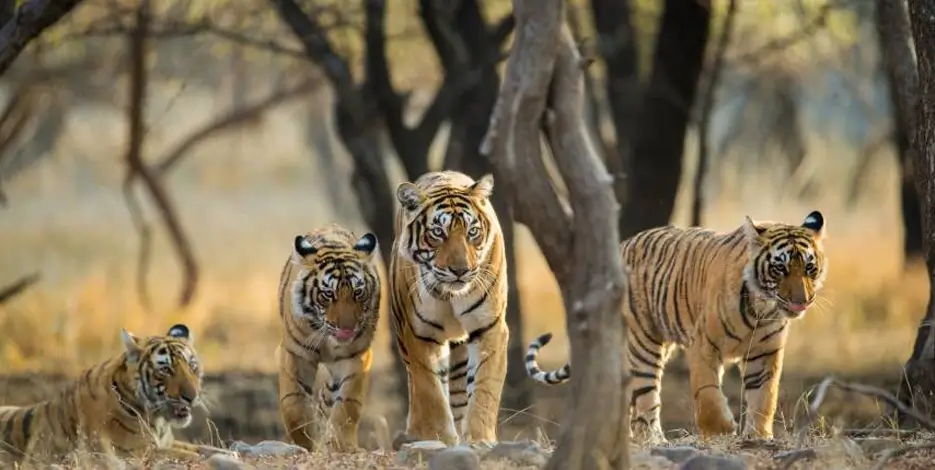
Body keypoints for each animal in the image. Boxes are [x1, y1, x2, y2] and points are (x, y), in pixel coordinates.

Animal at [0, 324, 231, 464]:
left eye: (192, 366)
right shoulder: (136, 451)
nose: (192, 397)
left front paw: (226, 453)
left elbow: (207, 449)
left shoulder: (165, 442)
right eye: (165, 369)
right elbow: (194, 456)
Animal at [276, 223, 381, 452]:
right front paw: (306, 442)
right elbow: (294, 404)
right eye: (327, 294)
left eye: (358, 292)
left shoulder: (356, 357)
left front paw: (340, 445)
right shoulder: (296, 354)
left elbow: (347, 404)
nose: (347, 328)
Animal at [390, 170, 509, 445]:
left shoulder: (490, 327)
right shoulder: (420, 334)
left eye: (472, 232)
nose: (460, 270)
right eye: (437, 233)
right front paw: (437, 437)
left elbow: (485, 388)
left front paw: (479, 439)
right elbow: (430, 391)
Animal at [524, 211, 828, 444]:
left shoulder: (765, 354)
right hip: (643, 343)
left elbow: (764, 396)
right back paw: (654, 440)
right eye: (780, 268)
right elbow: (707, 393)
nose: (801, 301)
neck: (761, 308)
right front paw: (721, 430)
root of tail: (621, 245)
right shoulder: (704, 345)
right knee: (646, 398)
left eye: (809, 268)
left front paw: (758, 436)